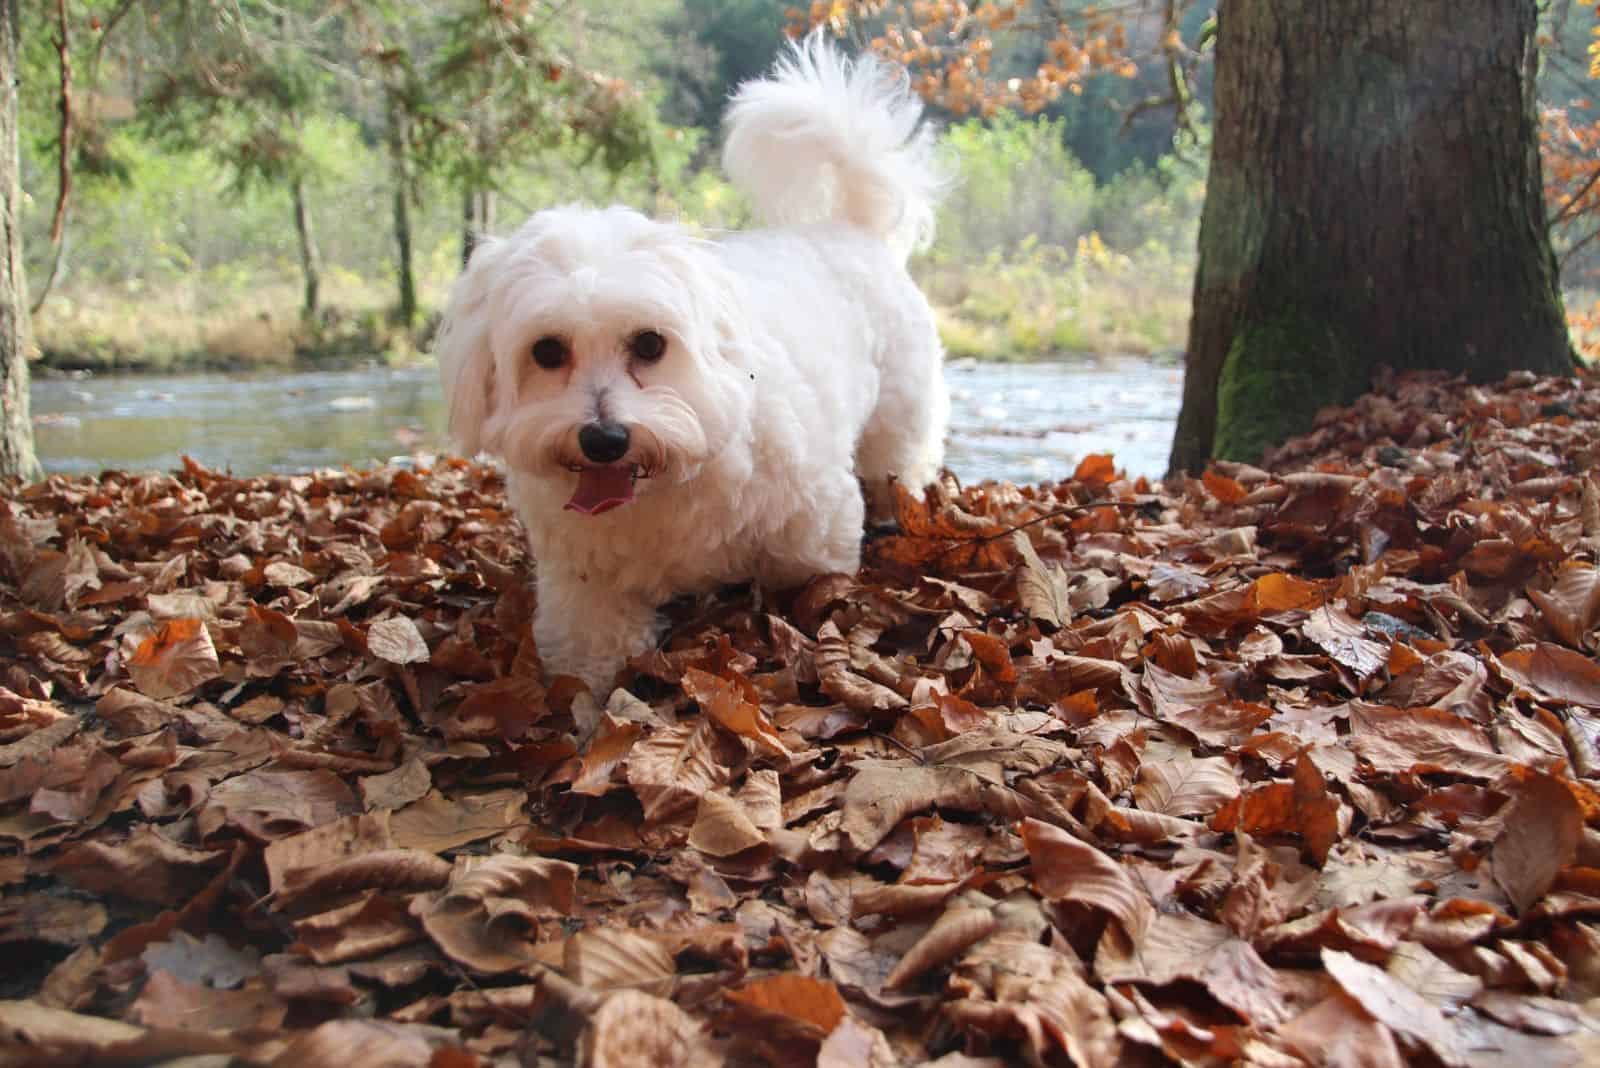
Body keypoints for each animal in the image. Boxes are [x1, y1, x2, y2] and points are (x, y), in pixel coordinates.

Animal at [435, 37, 947, 693]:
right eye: (547, 350)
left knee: (899, 463)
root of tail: (851, 228)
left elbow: (813, 580)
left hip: (897, 421)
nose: (603, 438)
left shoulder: (814, 529)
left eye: (651, 344)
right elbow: (590, 652)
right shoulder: (584, 580)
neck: (670, 474)